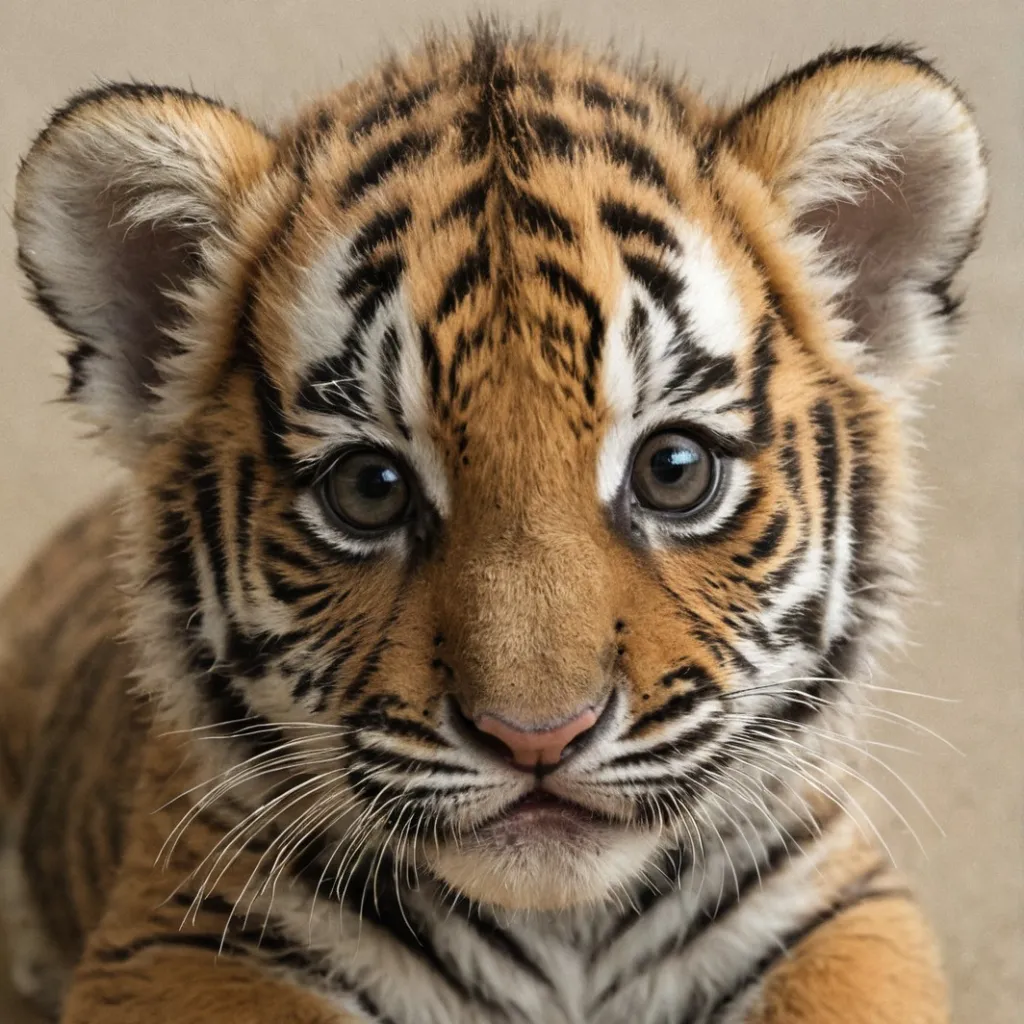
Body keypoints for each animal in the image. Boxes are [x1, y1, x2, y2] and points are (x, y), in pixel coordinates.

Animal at [0, 22, 986, 1024]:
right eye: (370, 489)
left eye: (674, 471)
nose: (536, 737)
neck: (565, 928)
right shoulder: (181, 940)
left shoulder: (838, 902)